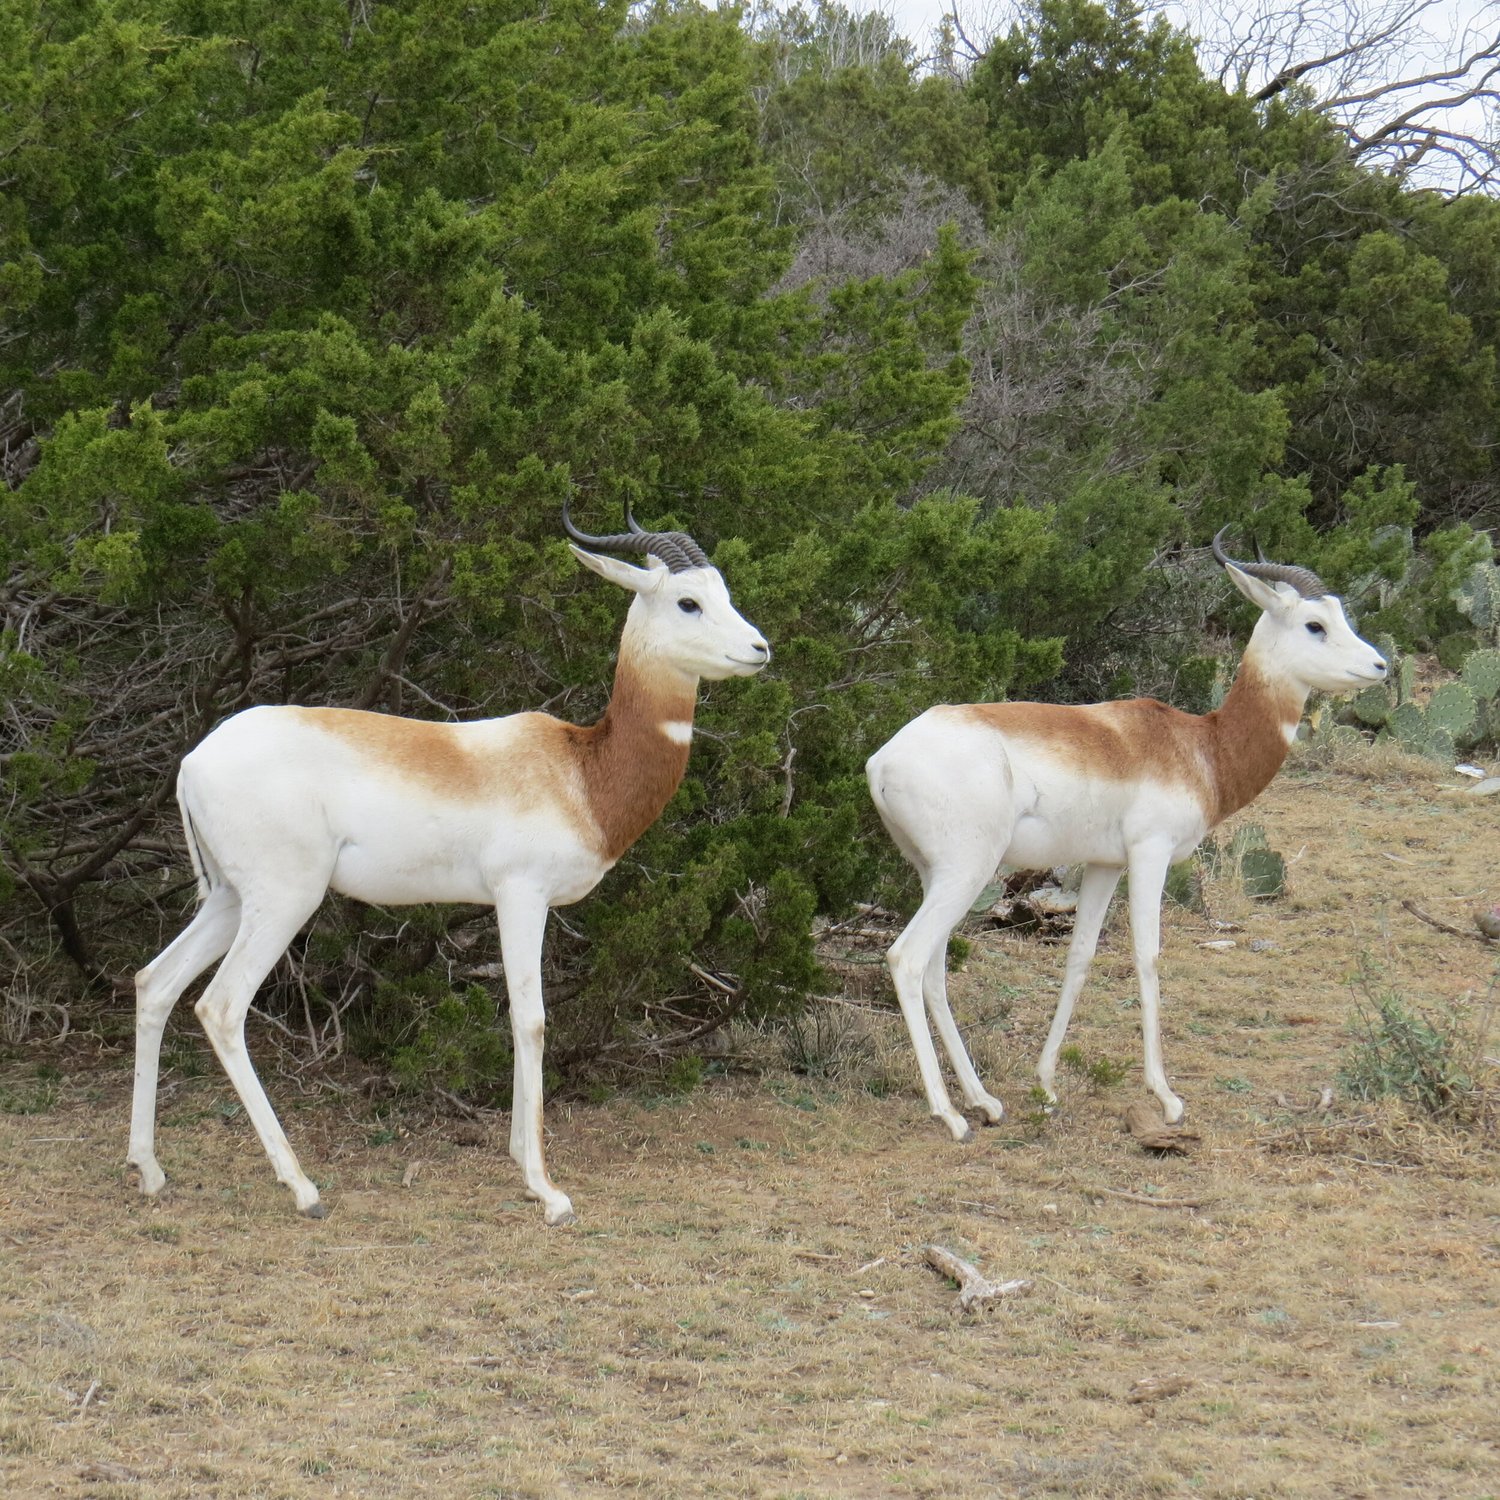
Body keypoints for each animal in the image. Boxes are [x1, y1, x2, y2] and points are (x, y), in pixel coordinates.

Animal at [128, 512, 770, 1226]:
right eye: (688, 602)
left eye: (725, 592)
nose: (760, 649)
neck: (579, 770)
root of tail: (193, 760)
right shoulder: (522, 895)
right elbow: (532, 1019)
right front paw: (547, 1190)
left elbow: (518, 1017)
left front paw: (521, 1162)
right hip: (285, 899)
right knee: (221, 1006)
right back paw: (301, 1187)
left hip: (230, 899)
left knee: (155, 982)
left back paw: (150, 1170)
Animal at [865, 531, 1387, 1137]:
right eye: (1314, 624)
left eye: (1341, 614)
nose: (1380, 665)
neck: (1200, 746)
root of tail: (881, 760)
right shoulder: (1150, 854)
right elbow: (1148, 956)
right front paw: (1166, 1097)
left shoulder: (1104, 864)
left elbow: (1080, 957)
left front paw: (1046, 1083)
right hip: (966, 872)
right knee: (907, 958)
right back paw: (950, 1115)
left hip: (936, 874)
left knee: (934, 972)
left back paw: (983, 1100)